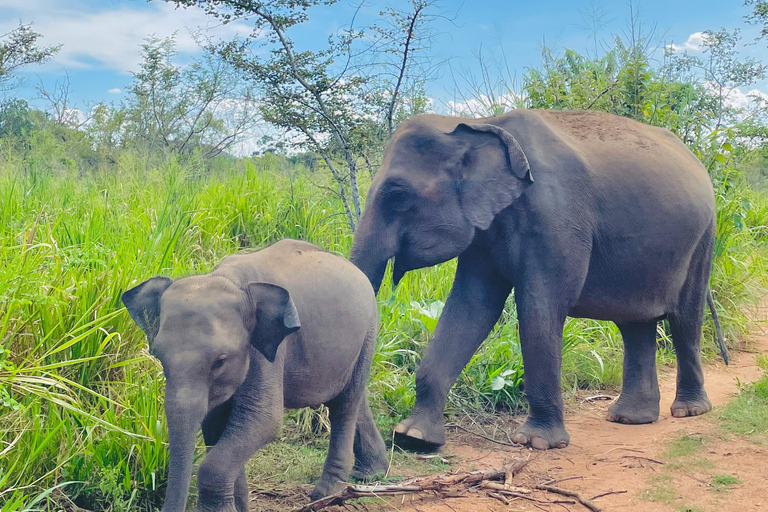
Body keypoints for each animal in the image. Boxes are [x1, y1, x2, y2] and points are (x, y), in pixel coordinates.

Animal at [122, 240, 388, 512]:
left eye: (220, 361)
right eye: (158, 356)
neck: (227, 279)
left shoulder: (266, 351)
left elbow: (264, 419)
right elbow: (214, 422)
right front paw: (239, 505)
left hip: (368, 331)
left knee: (344, 405)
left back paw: (326, 494)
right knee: (354, 398)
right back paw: (370, 473)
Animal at [352, 110, 724, 450]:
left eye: (397, 194)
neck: (480, 122)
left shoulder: (556, 219)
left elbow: (540, 307)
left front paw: (536, 442)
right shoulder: (484, 234)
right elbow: (472, 307)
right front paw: (415, 437)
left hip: (704, 237)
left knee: (685, 318)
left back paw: (689, 411)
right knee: (636, 324)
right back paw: (629, 418)